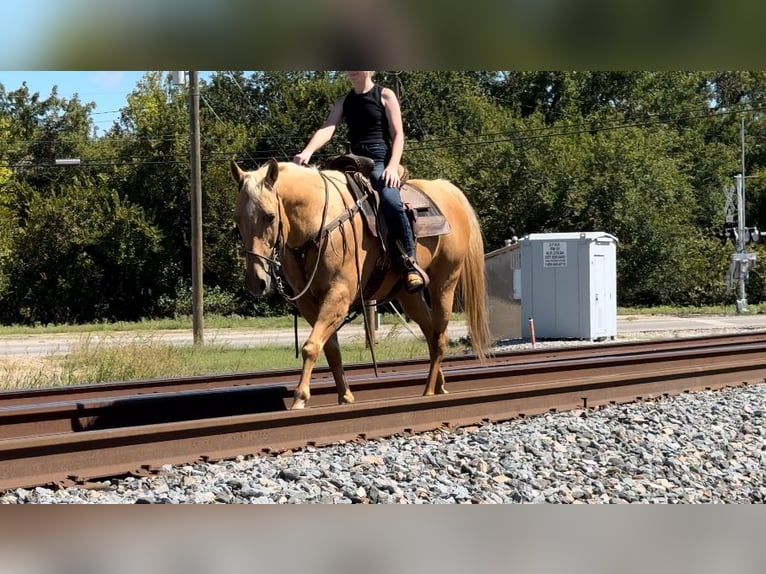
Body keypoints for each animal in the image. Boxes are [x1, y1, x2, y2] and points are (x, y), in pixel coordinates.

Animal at [231, 158, 492, 410]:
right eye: (238, 220)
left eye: (270, 216)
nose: (257, 282)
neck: (318, 225)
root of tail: (446, 189)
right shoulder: (308, 302)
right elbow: (330, 348)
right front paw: (345, 396)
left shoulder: (339, 294)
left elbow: (311, 345)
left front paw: (299, 398)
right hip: (408, 295)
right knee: (430, 333)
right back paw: (439, 384)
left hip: (444, 283)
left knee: (439, 337)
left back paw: (428, 391)